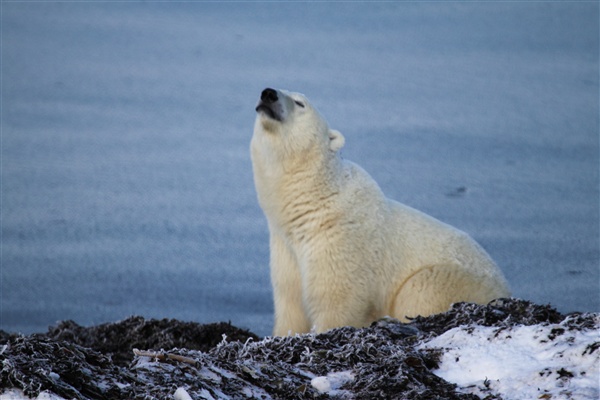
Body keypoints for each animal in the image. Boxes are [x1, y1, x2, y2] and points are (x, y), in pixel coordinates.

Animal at [251, 89, 508, 336]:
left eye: (300, 102)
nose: (268, 94)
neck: (316, 201)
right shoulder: (286, 250)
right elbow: (290, 304)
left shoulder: (342, 240)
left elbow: (337, 302)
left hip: (457, 280)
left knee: (421, 289)